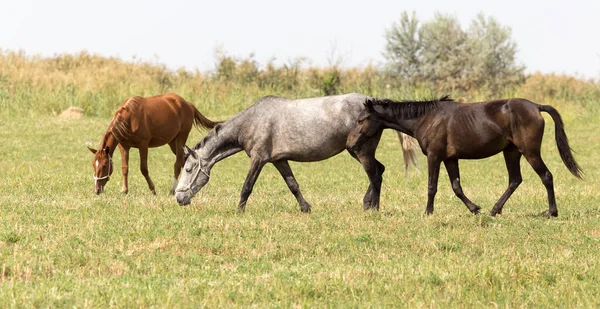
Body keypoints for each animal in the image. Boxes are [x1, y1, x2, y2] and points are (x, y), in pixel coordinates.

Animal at [86, 92, 218, 196]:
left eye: (104, 165)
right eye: (93, 164)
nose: (97, 190)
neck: (130, 118)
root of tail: (188, 104)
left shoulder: (143, 145)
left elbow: (143, 168)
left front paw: (153, 190)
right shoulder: (123, 146)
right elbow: (125, 168)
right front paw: (124, 190)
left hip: (181, 138)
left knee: (178, 163)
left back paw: (173, 190)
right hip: (172, 142)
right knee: (184, 160)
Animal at [173, 92, 418, 212]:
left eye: (188, 169)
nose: (179, 198)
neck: (252, 121)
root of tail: (374, 103)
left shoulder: (258, 159)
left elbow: (246, 187)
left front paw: (238, 211)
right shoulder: (279, 160)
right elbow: (293, 185)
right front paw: (305, 208)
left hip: (361, 150)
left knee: (375, 173)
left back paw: (372, 207)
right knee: (379, 170)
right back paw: (368, 204)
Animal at [344, 96, 584, 217]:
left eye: (361, 119)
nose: (349, 144)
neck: (426, 118)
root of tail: (536, 106)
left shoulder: (434, 156)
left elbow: (432, 186)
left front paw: (428, 212)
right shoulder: (450, 159)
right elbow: (456, 187)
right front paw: (475, 209)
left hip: (530, 152)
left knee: (546, 176)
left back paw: (551, 212)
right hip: (511, 152)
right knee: (515, 180)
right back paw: (494, 210)